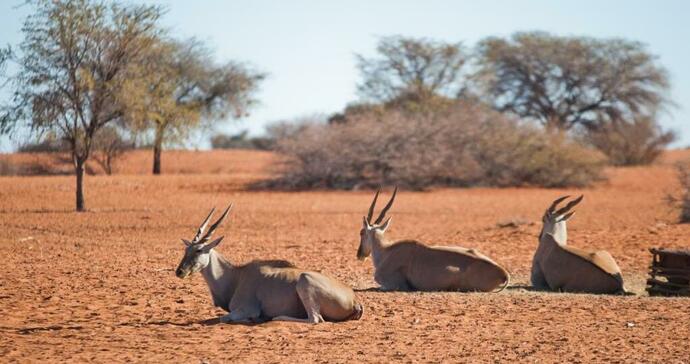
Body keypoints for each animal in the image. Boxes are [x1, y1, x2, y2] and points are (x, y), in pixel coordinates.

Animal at [175, 205, 362, 324]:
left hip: (304, 280)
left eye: (199, 250)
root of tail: (354, 299)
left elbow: (225, 317)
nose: (180, 271)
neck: (236, 276)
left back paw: (276, 318)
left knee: (315, 319)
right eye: (186, 250)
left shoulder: (246, 309)